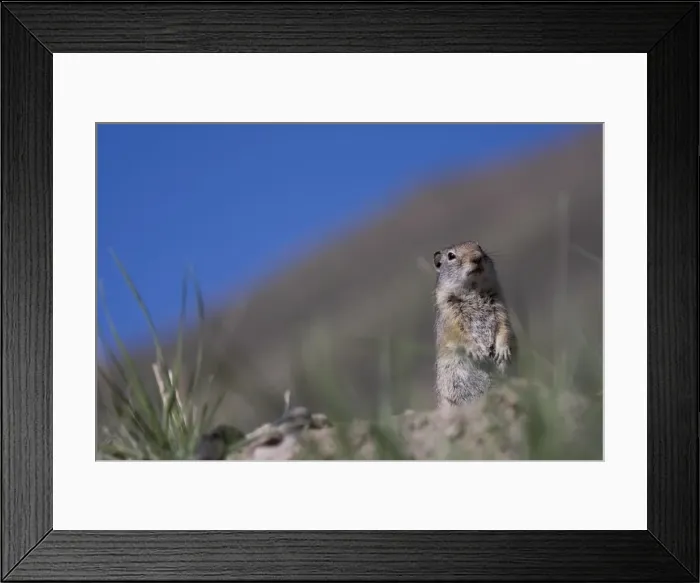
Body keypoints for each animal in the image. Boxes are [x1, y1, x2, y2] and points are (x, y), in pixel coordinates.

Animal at [432, 240, 517, 407]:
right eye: (450, 256)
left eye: (479, 247)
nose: (477, 257)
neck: (474, 290)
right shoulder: (450, 316)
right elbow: (459, 335)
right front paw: (477, 351)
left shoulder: (500, 307)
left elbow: (504, 327)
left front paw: (502, 351)